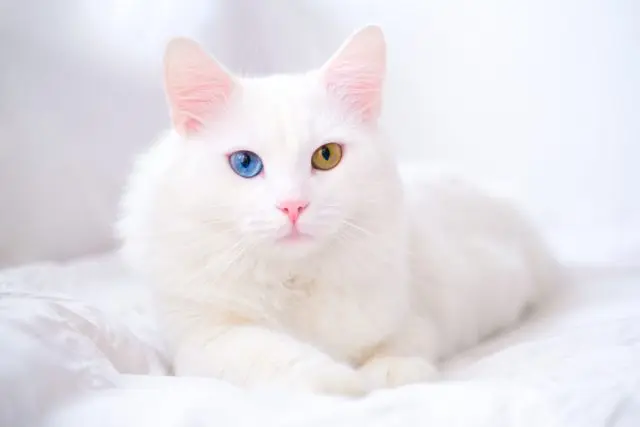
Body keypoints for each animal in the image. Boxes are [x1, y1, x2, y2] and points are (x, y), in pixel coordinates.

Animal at [119, 25, 560, 396]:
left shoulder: (413, 313)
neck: (294, 280)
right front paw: (339, 382)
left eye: (326, 156)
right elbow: (273, 353)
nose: (293, 205)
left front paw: (383, 373)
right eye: (245, 163)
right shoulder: (204, 337)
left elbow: (402, 345)